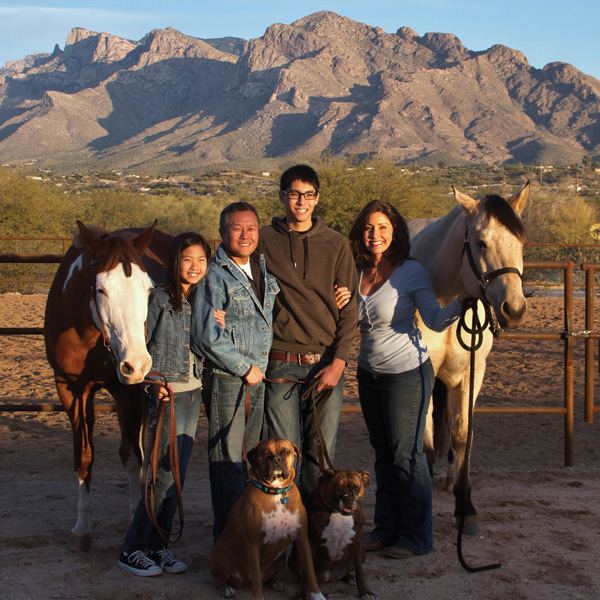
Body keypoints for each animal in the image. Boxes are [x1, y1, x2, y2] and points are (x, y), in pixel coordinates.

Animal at [43, 220, 171, 548]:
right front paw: (82, 525)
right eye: (101, 289)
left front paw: (134, 517)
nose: (137, 364)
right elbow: (84, 455)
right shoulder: (70, 390)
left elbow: (131, 456)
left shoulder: (127, 391)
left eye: (148, 289)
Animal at [210, 436, 326, 600]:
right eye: (266, 453)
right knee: (219, 579)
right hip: (221, 558)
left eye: (285, 452)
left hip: (281, 559)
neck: (276, 492)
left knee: (266, 578)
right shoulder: (253, 544)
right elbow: (257, 581)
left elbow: (310, 572)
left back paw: (276, 583)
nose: (276, 458)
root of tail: (242, 581)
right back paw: (226, 589)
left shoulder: (302, 539)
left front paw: (317, 595)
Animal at [308, 468, 372, 600]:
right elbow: (308, 573)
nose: (347, 498)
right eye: (337, 489)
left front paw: (364, 591)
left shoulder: (356, 542)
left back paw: (349, 577)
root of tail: (330, 577)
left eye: (356, 489)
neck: (338, 514)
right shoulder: (312, 542)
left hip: (362, 552)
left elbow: (359, 569)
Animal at [408, 183, 528, 536]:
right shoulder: (421, 372)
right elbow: (425, 435)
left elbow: (463, 434)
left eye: (521, 241)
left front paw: (466, 504)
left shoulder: (473, 373)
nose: (514, 308)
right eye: (481, 242)